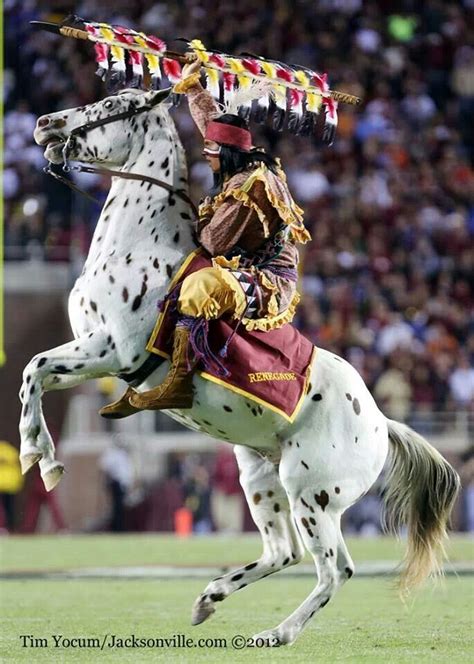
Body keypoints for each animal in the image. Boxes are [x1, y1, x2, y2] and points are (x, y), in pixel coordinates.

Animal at [21, 88, 460, 644]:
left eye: (113, 104)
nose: (44, 123)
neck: (139, 247)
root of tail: (381, 422)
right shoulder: (90, 350)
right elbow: (38, 375)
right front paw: (43, 455)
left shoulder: (112, 351)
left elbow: (33, 368)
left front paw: (39, 457)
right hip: (257, 475)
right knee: (283, 551)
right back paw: (210, 597)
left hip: (311, 493)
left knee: (333, 568)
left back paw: (278, 632)